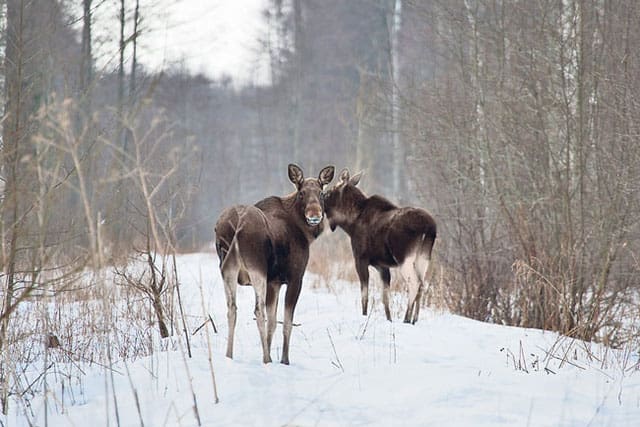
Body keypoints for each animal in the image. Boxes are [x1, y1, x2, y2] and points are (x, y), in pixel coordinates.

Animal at [215, 164, 336, 364]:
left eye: (321, 193)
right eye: (301, 193)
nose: (314, 215)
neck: (306, 234)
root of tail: (237, 224)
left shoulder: (274, 282)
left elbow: (272, 323)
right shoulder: (295, 278)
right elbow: (286, 322)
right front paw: (284, 360)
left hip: (227, 269)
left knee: (232, 308)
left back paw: (229, 355)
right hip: (257, 268)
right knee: (258, 311)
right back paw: (266, 359)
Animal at [322, 169, 438, 322]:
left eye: (329, 193)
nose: (320, 200)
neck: (350, 224)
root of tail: (429, 227)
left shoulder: (360, 259)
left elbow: (365, 295)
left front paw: (364, 315)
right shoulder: (382, 266)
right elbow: (385, 298)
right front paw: (389, 320)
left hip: (404, 259)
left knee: (415, 283)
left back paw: (407, 319)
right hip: (423, 258)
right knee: (422, 284)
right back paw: (414, 320)